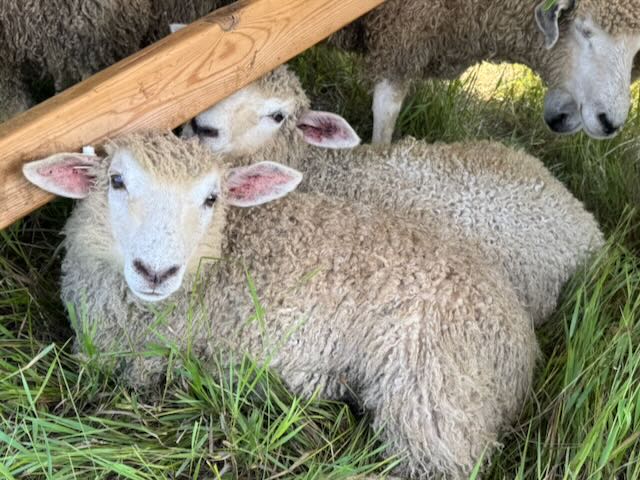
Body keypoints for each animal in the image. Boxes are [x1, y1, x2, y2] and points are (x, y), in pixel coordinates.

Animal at [23, 132, 538, 479]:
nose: (155, 271)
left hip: (434, 401)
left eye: (211, 198)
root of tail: (521, 340)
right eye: (116, 181)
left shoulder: (154, 360)